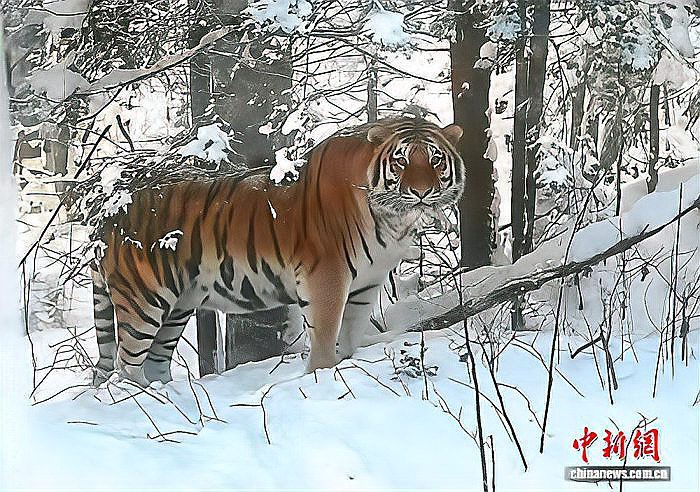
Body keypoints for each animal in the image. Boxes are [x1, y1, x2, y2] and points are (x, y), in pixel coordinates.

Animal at [91, 116, 464, 386]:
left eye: (435, 160)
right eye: (401, 160)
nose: (421, 192)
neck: (392, 220)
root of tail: (109, 213)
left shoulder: (367, 284)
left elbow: (350, 335)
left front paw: (346, 364)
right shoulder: (327, 277)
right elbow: (325, 337)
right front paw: (322, 376)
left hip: (177, 307)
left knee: (154, 362)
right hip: (143, 300)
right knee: (126, 366)